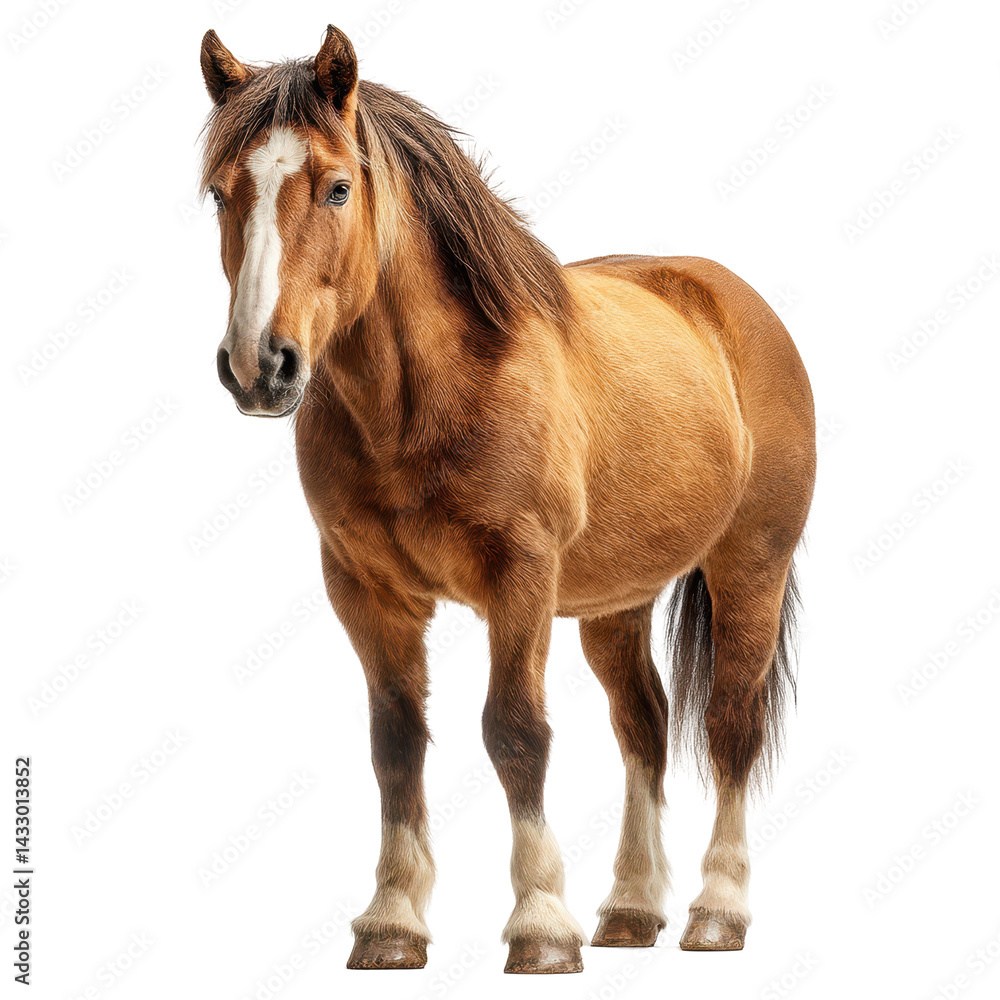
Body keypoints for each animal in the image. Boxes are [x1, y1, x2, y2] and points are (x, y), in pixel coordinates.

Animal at [199, 25, 816, 975]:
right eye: (220, 193)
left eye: (338, 187)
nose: (259, 367)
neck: (426, 398)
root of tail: (734, 303)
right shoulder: (365, 590)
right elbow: (395, 742)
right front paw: (392, 920)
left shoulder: (519, 576)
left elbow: (516, 733)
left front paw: (540, 925)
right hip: (615, 604)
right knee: (643, 725)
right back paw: (631, 909)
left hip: (751, 566)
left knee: (729, 724)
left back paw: (718, 910)